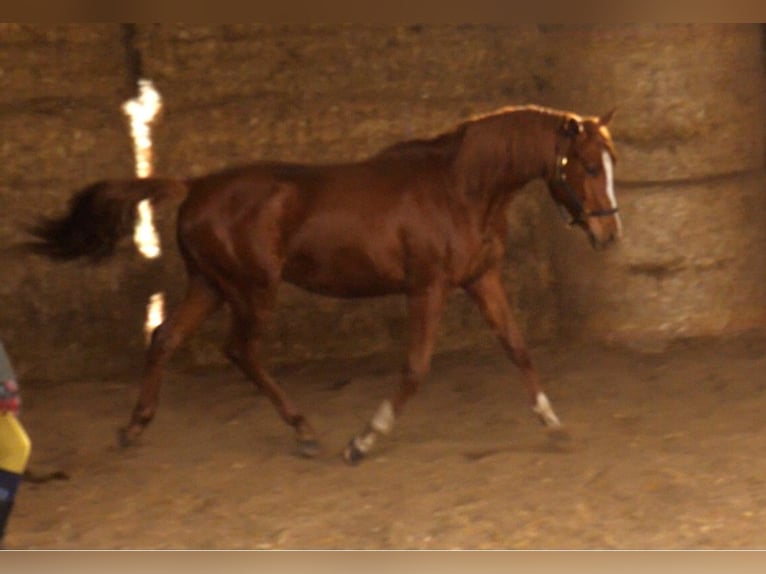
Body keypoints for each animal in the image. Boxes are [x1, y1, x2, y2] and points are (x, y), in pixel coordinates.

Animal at [28, 104, 624, 464]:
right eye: (590, 167)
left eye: (609, 162)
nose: (610, 233)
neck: (462, 189)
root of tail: (194, 187)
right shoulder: (427, 287)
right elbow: (415, 369)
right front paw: (363, 440)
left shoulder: (481, 279)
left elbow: (518, 349)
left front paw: (553, 423)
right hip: (251, 289)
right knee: (240, 350)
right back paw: (304, 429)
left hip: (210, 285)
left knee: (165, 337)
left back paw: (134, 427)